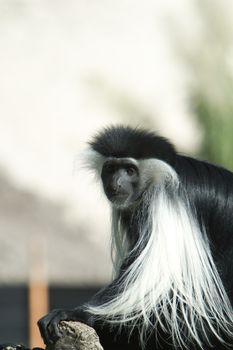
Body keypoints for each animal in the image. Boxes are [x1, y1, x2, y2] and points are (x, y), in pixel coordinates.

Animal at [38, 126, 233, 350]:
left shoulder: (164, 204)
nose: (116, 184)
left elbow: (145, 278)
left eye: (130, 170)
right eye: (111, 169)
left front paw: (75, 313)